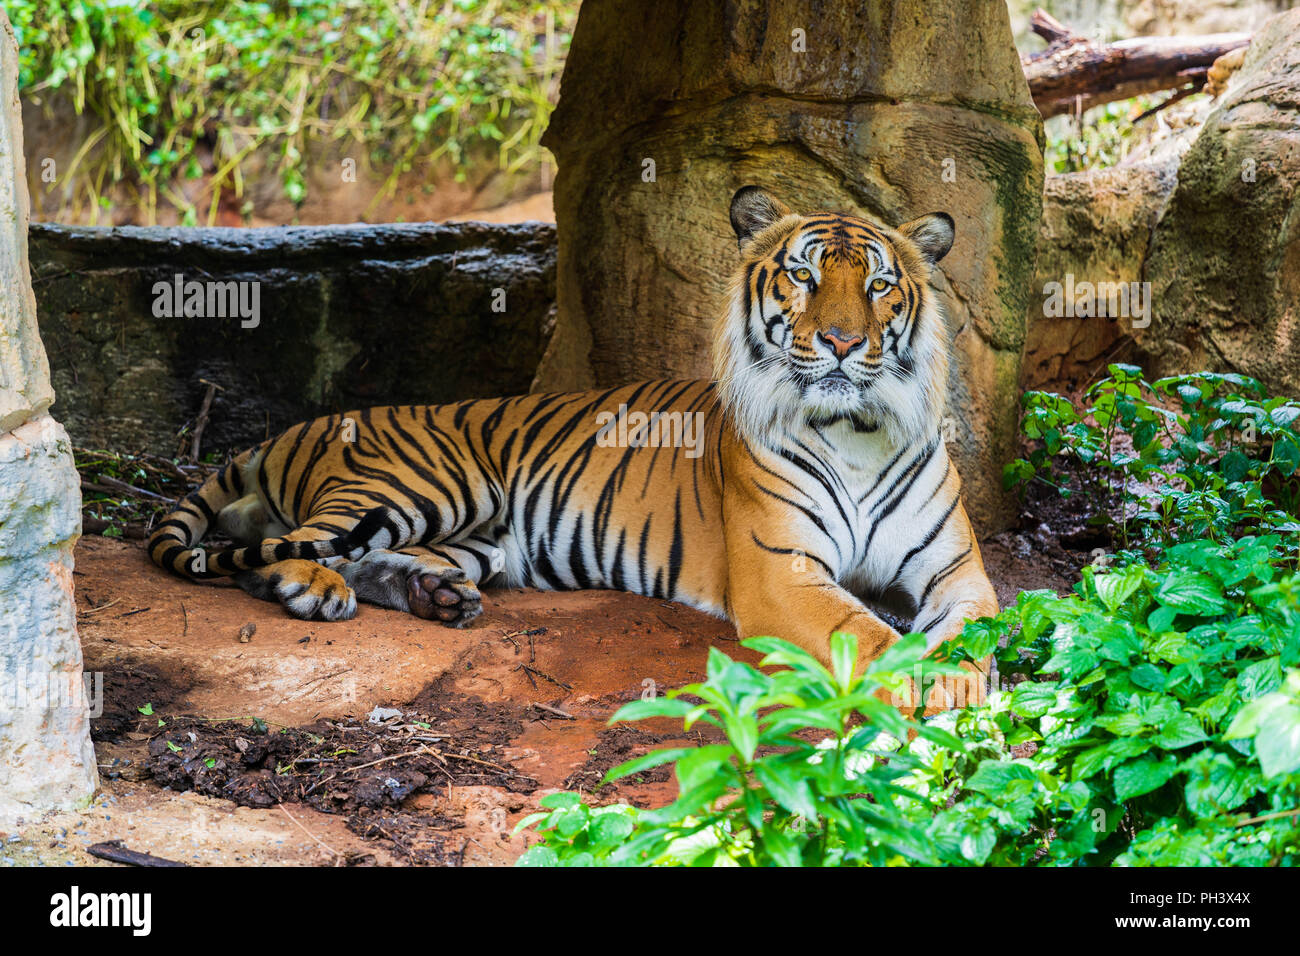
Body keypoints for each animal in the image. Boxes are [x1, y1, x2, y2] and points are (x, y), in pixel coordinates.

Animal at [154, 187, 1003, 681]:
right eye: (803, 275)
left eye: (880, 284)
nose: (841, 342)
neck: (854, 430)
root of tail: (299, 426)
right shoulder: (781, 574)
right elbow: (871, 636)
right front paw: (940, 688)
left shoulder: (959, 573)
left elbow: (975, 630)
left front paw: (964, 677)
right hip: (425, 486)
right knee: (283, 550)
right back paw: (312, 589)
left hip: (478, 540)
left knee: (358, 556)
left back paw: (433, 595)